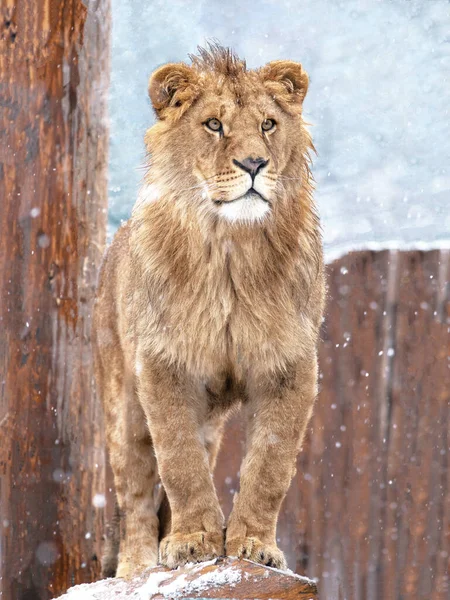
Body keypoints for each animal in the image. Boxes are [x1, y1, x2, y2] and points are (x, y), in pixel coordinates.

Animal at [92, 44, 324, 580]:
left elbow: (270, 466)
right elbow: (179, 461)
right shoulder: (164, 366)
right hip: (122, 401)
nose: (255, 163)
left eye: (268, 125)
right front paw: (193, 542)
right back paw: (137, 567)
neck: (231, 252)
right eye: (214, 125)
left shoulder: (290, 366)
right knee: (134, 493)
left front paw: (253, 547)